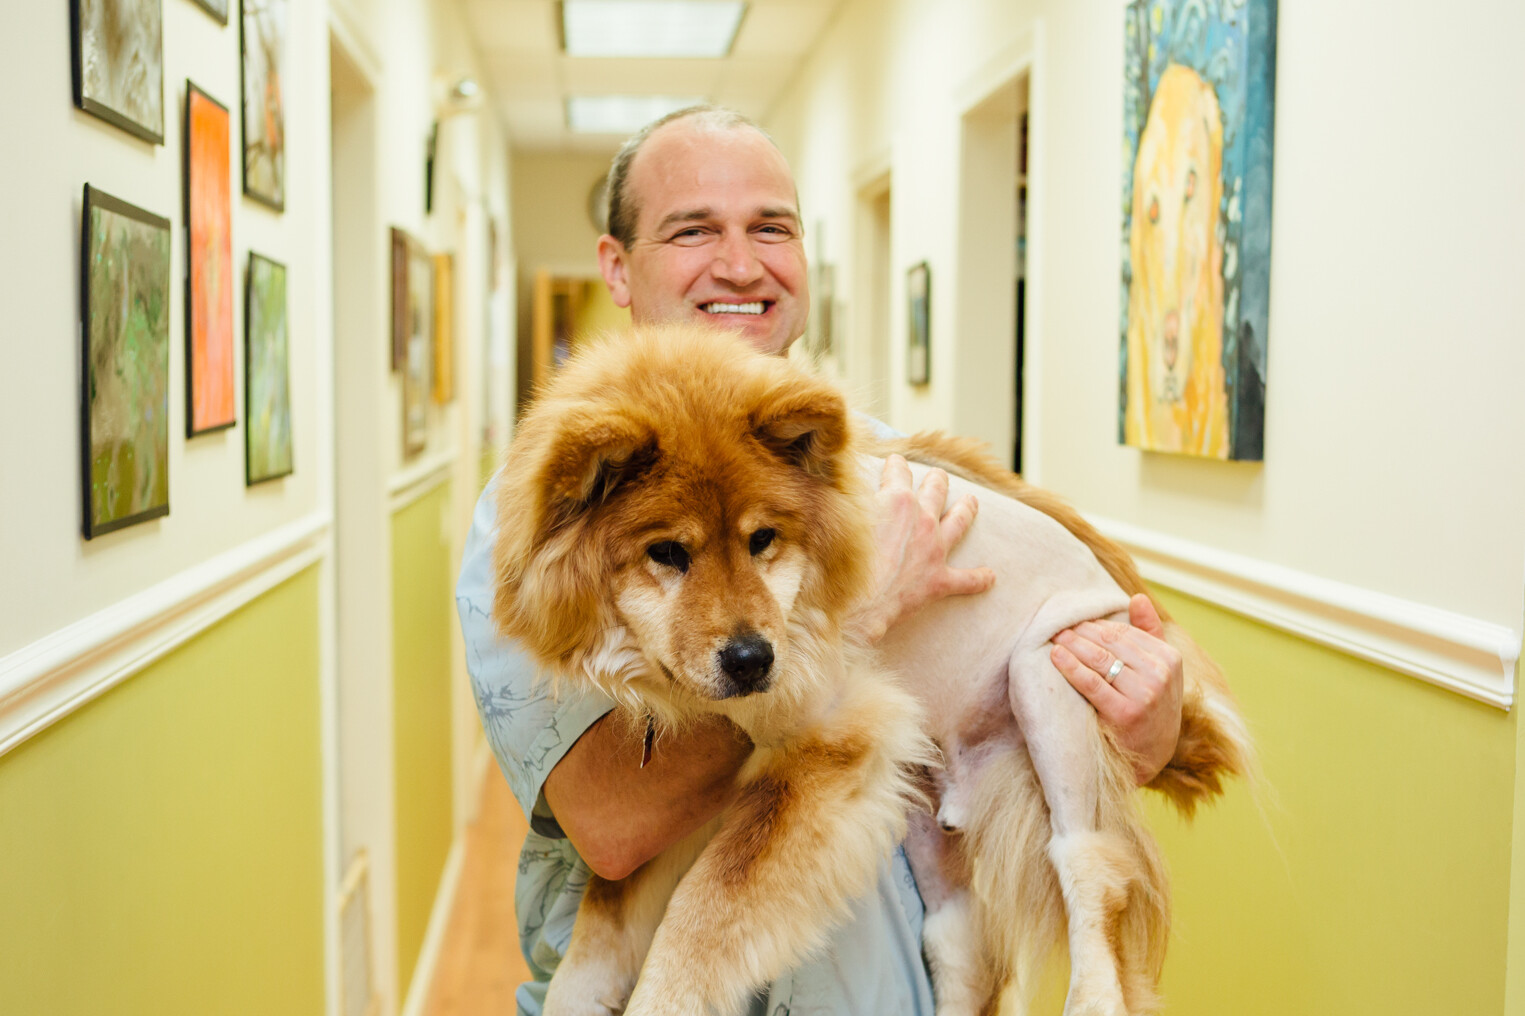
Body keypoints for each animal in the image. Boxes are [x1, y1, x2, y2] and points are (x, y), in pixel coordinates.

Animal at [494, 324, 1244, 1012]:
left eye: (762, 540)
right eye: (668, 553)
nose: (752, 660)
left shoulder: (826, 742)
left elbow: (697, 921)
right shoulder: (672, 804)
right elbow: (598, 935)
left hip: (1048, 682)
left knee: (1091, 870)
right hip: (921, 798)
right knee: (962, 943)